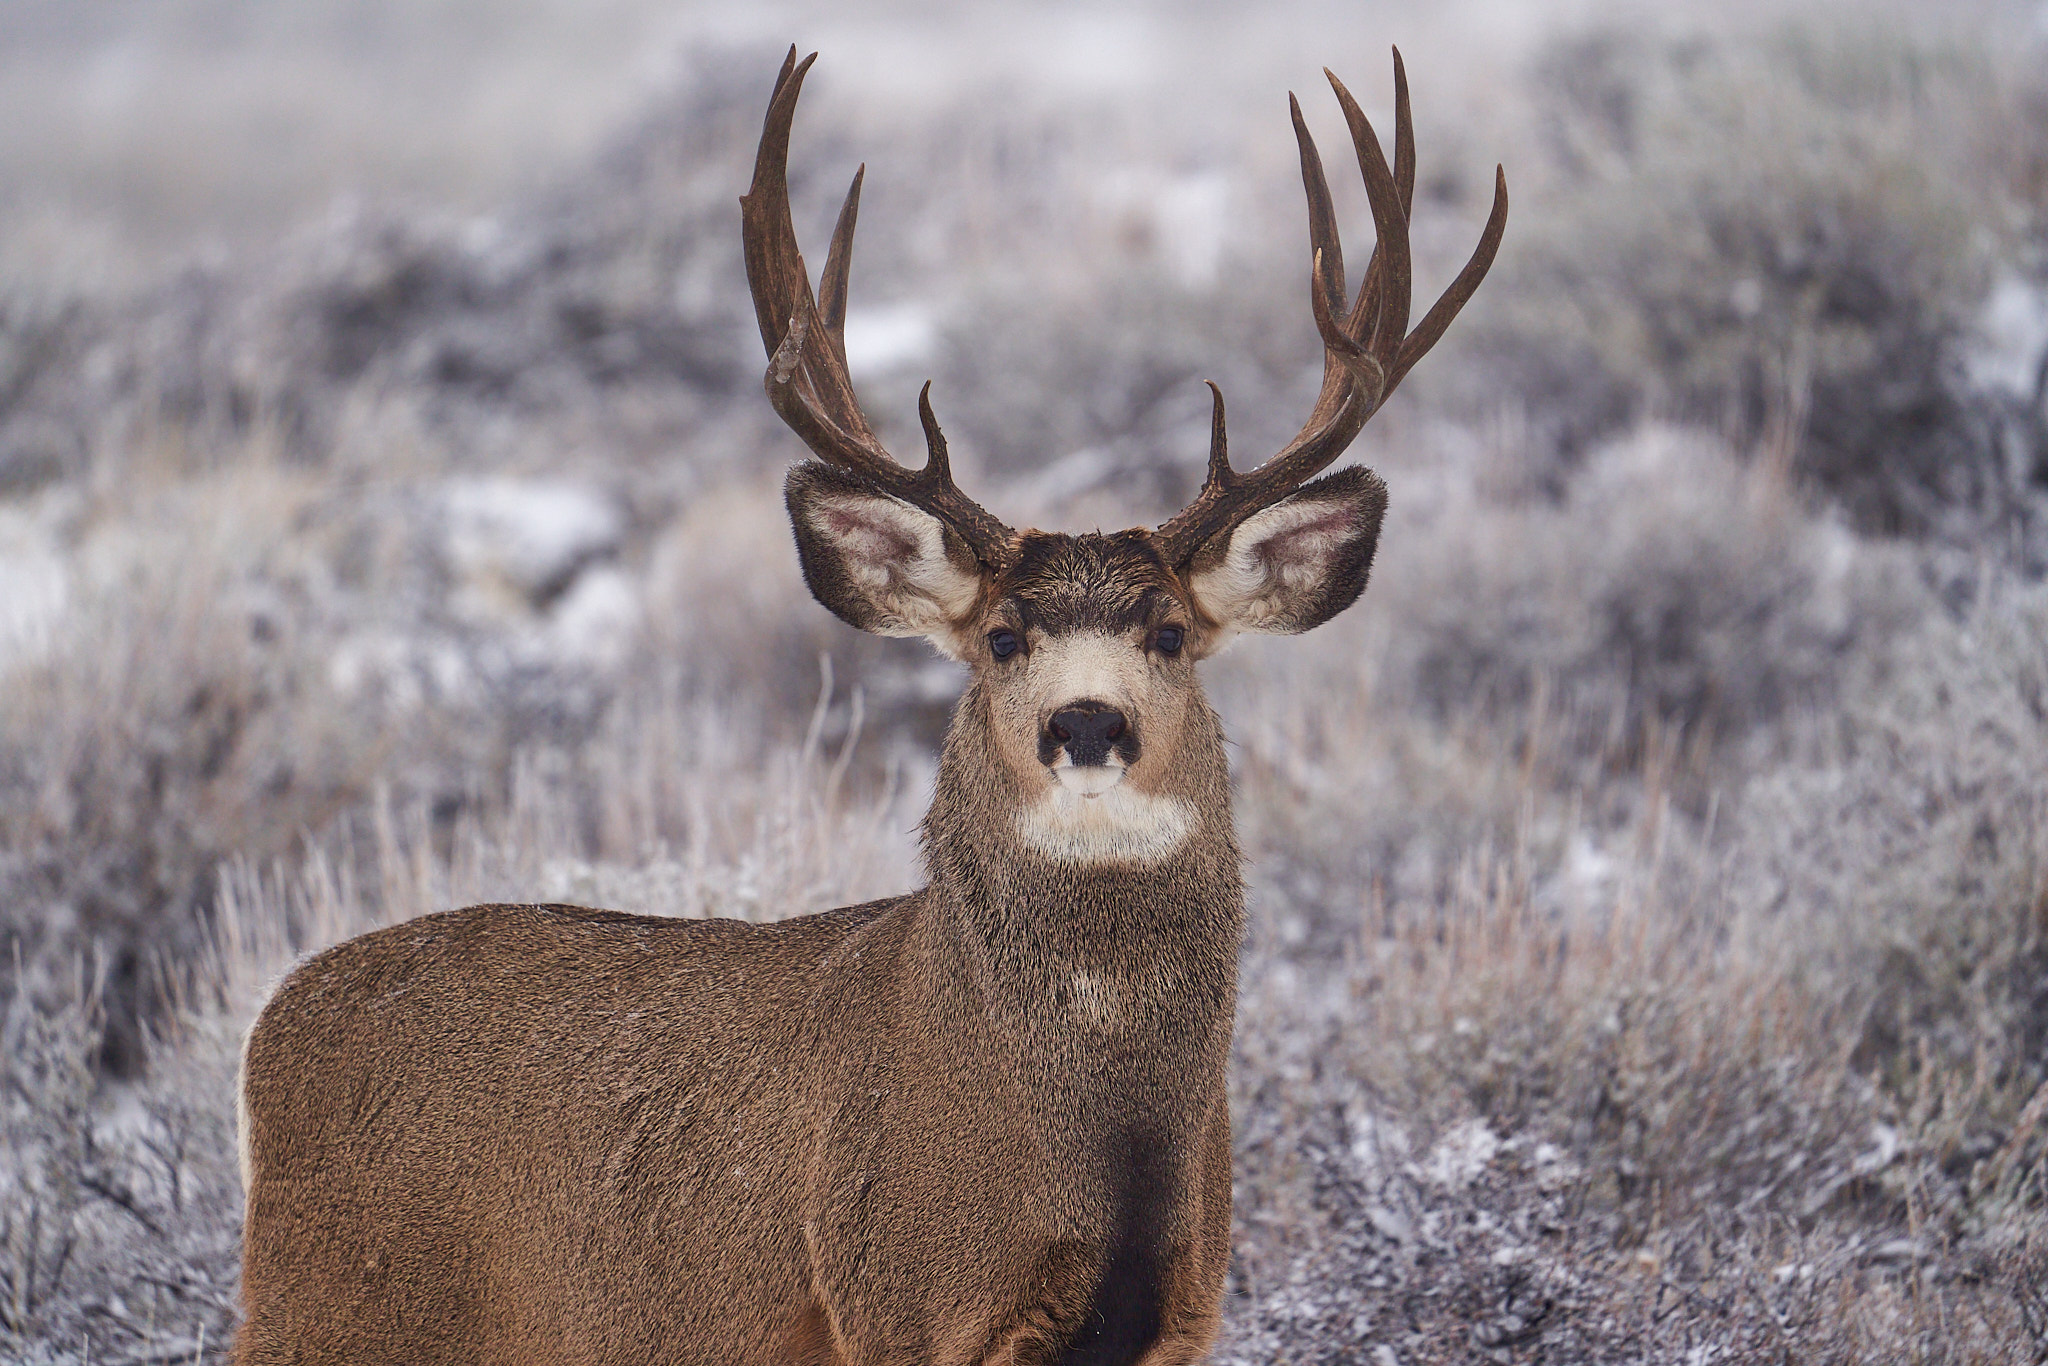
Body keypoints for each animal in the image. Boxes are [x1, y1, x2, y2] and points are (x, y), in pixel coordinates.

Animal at [232, 46, 1504, 1366]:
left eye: (1167, 633)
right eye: (1000, 637)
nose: (1085, 724)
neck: (1096, 1139)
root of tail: (271, 1035)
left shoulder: (1182, 1309)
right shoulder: (892, 1294)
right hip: (334, 1306)